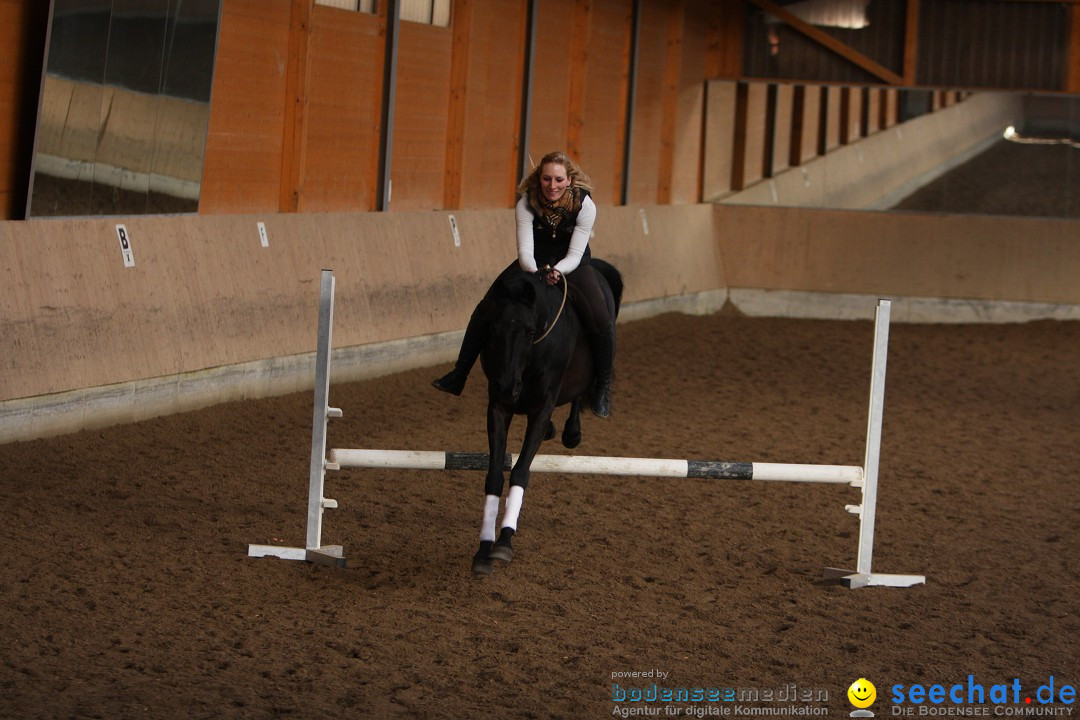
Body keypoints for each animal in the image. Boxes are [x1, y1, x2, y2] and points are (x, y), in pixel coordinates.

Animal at [473, 259, 626, 574]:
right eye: (492, 329)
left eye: (531, 331)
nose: (507, 386)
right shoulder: (498, 409)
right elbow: (494, 476)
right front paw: (483, 549)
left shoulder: (541, 408)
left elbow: (520, 472)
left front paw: (504, 542)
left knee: (582, 390)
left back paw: (575, 428)